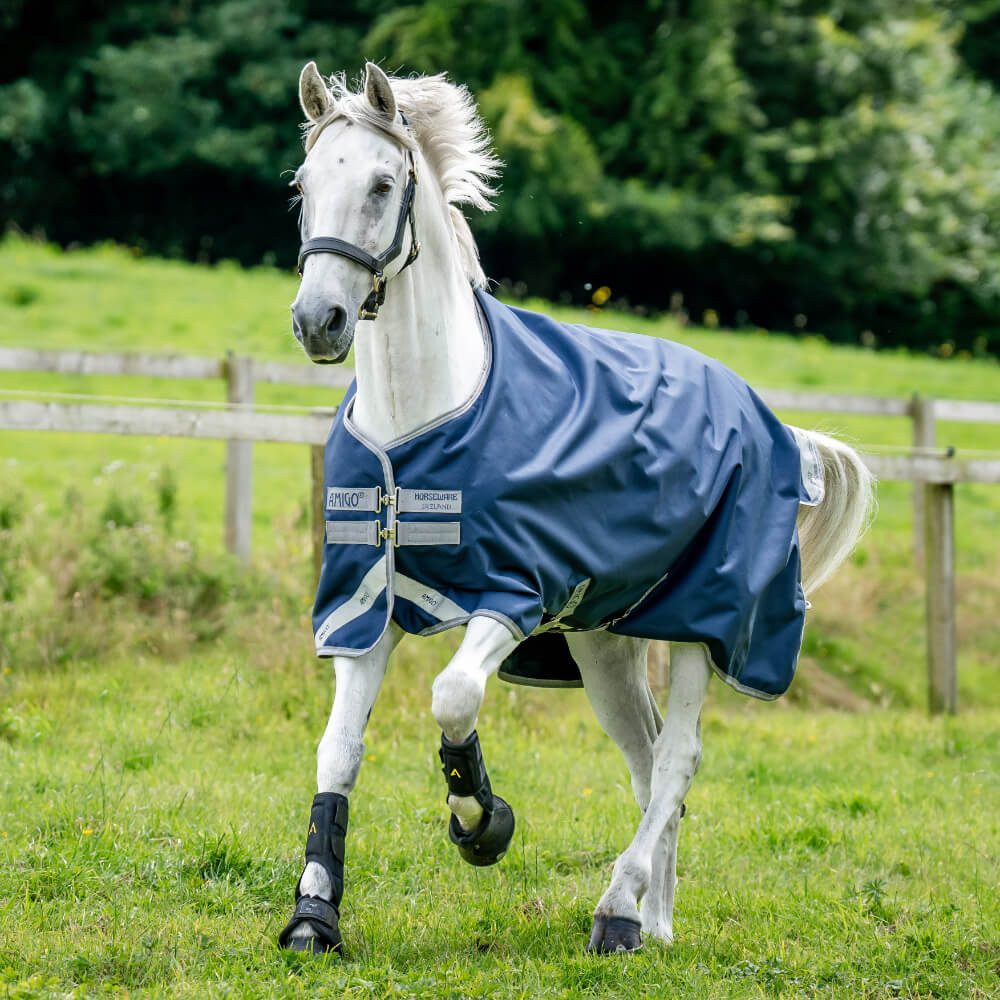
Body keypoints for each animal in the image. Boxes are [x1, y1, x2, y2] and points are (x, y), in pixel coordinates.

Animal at [277, 61, 875, 956]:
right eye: (305, 186)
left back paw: (619, 912)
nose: (320, 321)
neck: (417, 426)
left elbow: (453, 697)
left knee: (677, 760)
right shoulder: (362, 608)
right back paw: (654, 921)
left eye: (383, 185)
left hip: (703, 628)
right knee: (649, 760)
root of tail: (760, 412)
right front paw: (315, 917)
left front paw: (482, 824)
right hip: (606, 645)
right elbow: (337, 751)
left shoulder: (514, 595)